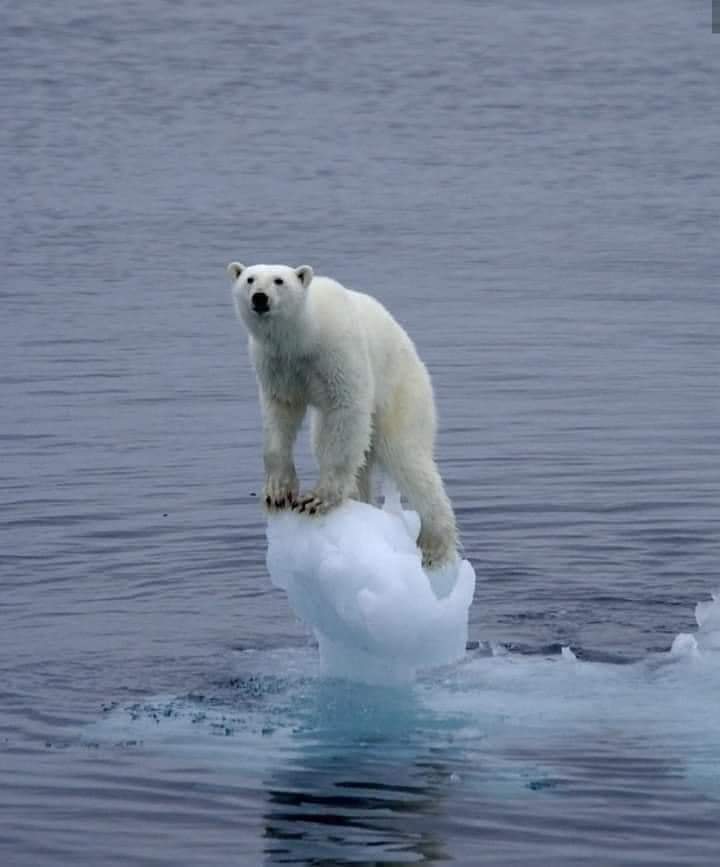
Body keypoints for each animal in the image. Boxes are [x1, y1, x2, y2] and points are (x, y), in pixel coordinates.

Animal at [228, 262, 458, 568]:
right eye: (250, 279)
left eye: (279, 280)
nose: (260, 298)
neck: (302, 336)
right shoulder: (276, 365)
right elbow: (279, 416)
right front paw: (278, 491)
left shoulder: (336, 350)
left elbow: (347, 408)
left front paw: (316, 500)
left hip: (403, 395)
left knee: (407, 458)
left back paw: (434, 546)